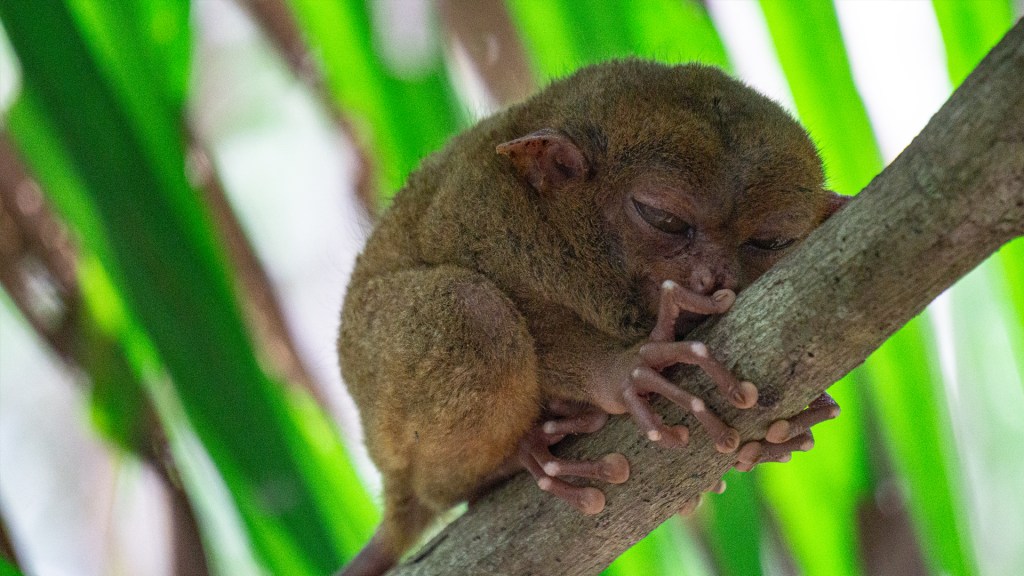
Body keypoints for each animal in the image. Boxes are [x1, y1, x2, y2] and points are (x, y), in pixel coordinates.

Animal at [336, 60, 847, 576]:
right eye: (662, 218)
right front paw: (627, 372)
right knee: (475, 311)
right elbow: (526, 311)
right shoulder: (485, 213)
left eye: (771, 242)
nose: (715, 277)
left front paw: (786, 431)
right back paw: (524, 454)